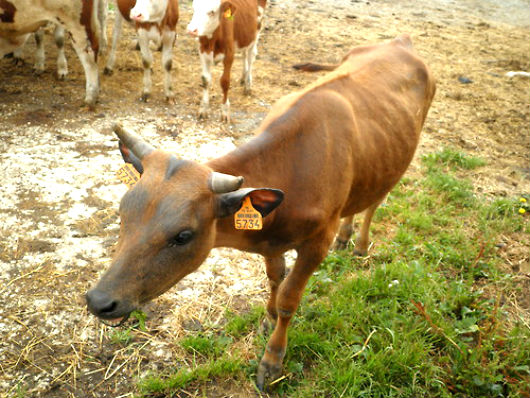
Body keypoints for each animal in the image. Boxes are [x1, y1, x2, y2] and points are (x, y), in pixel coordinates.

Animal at [85, 35, 434, 390]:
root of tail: (400, 42)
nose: (99, 300)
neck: (293, 167)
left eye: (183, 235)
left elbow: (289, 300)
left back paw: (360, 243)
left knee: (375, 202)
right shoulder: (272, 243)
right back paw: (347, 236)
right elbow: (275, 278)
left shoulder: (317, 242)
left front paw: (272, 359)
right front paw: (267, 318)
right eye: (122, 212)